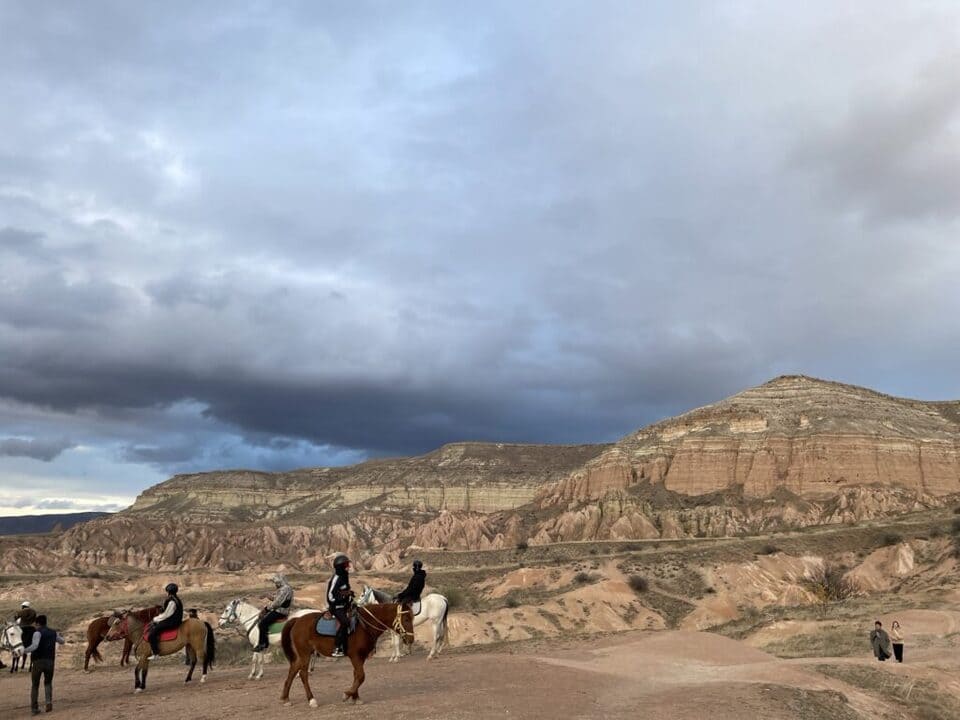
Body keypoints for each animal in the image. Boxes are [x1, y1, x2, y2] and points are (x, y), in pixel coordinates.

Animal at [278, 600, 412, 708]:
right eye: (406, 619)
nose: (411, 639)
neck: (364, 625)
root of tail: (297, 620)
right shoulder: (355, 656)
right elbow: (361, 676)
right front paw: (347, 695)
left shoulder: (360, 657)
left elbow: (356, 675)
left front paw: (355, 697)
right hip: (305, 654)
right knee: (303, 674)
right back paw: (312, 700)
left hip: (302, 655)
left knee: (293, 670)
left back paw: (285, 698)